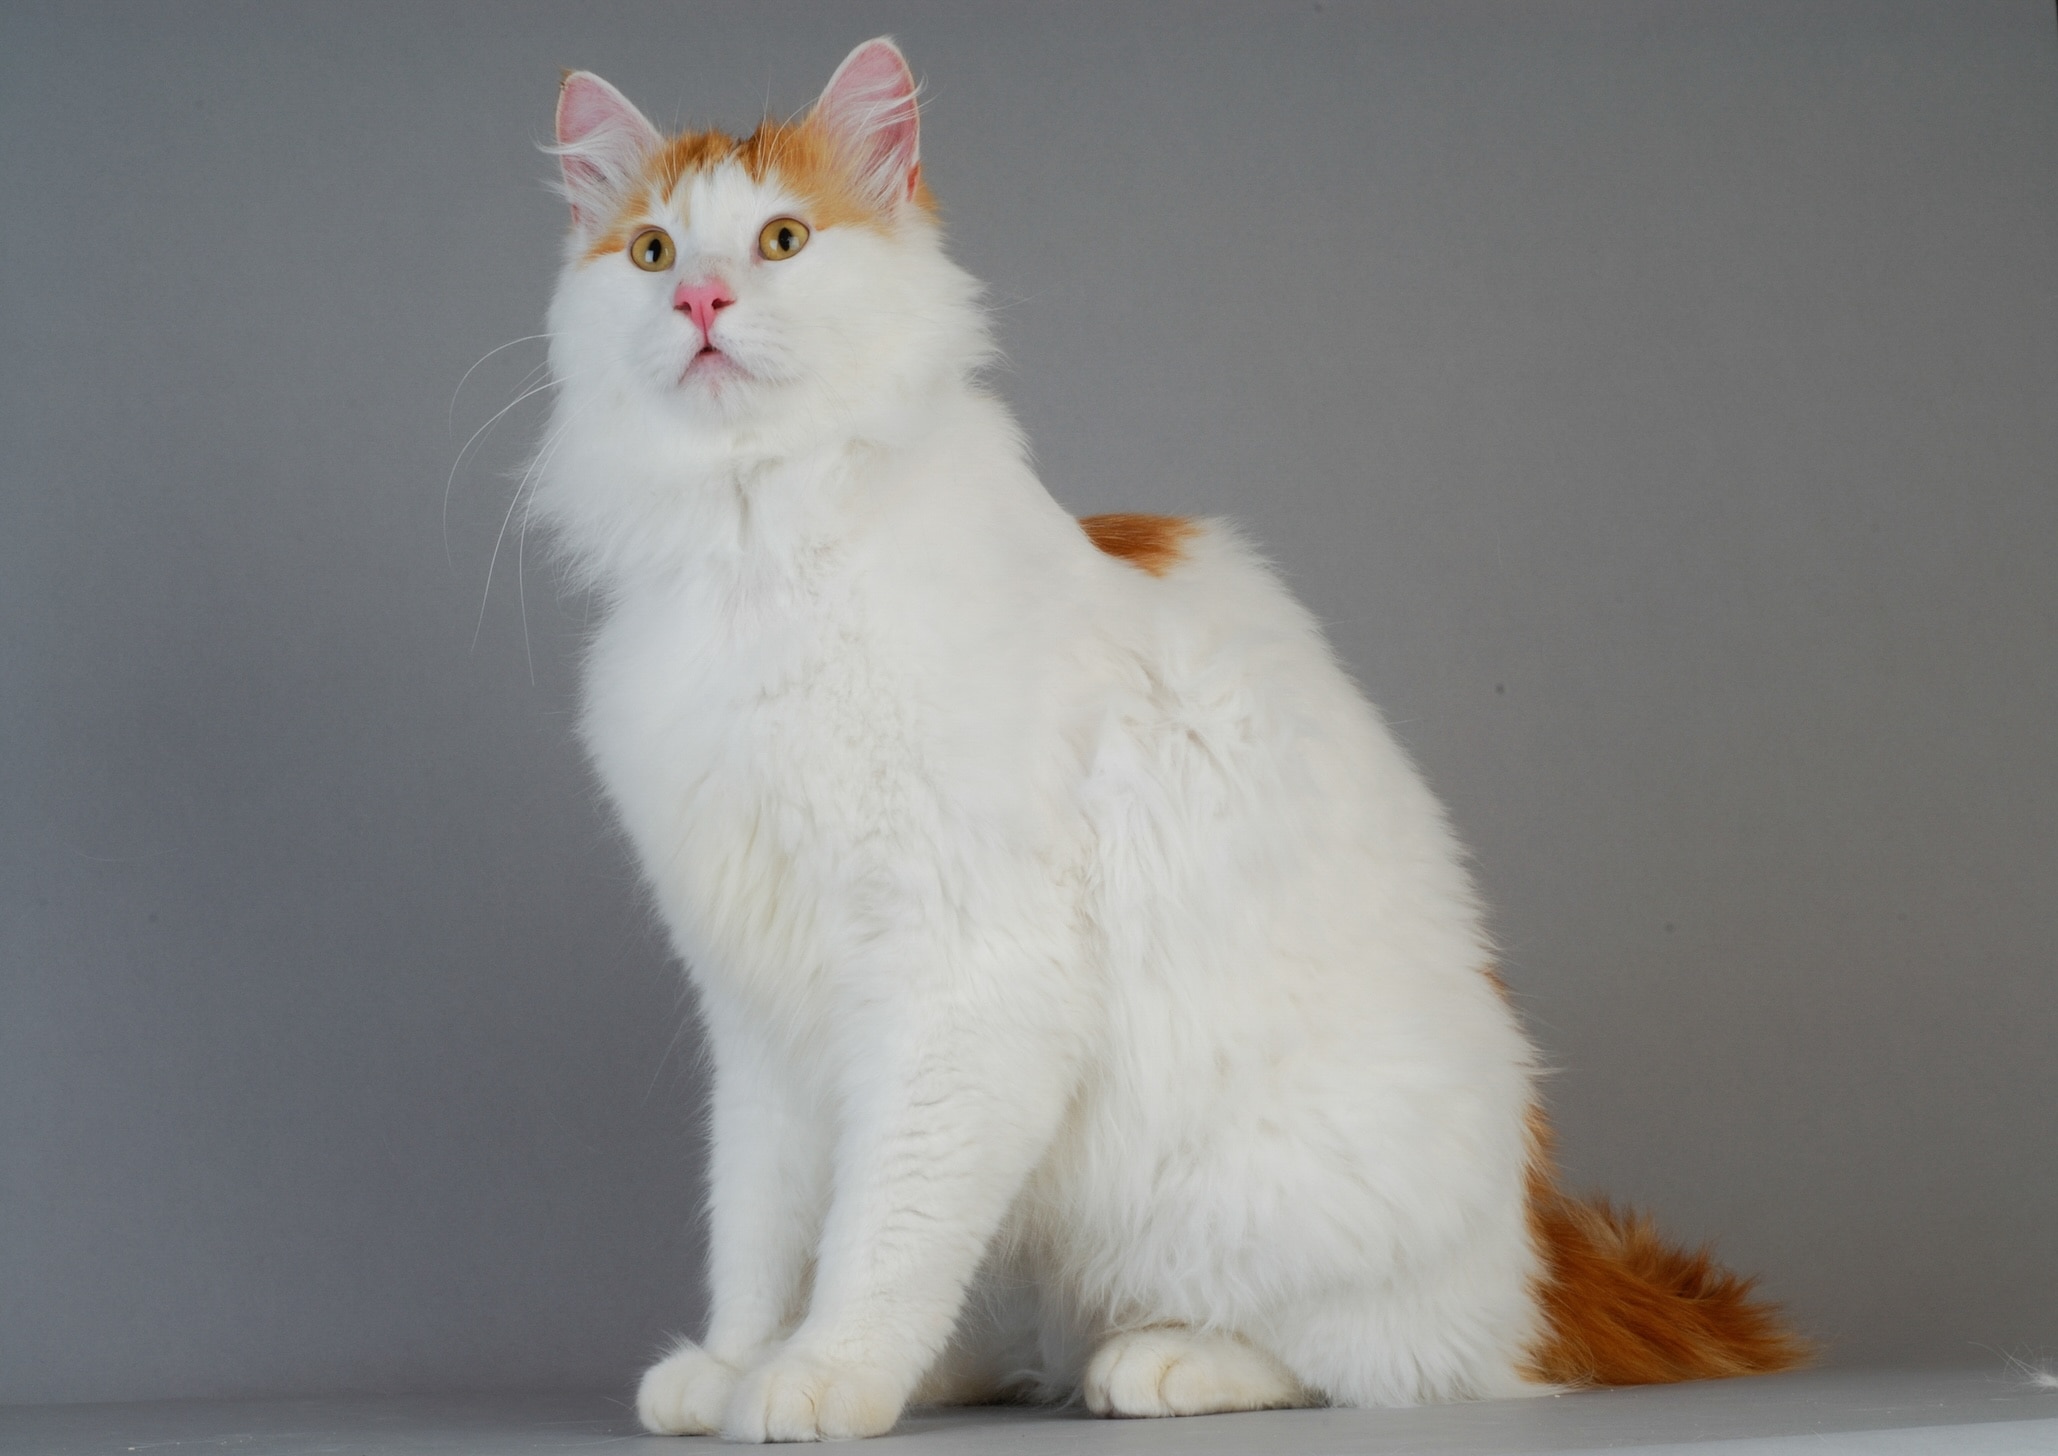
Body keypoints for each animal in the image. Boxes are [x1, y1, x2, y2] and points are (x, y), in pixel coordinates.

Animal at [526, 37, 1802, 1449]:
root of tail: (1538, 1254)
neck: (754, 546)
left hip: (1260, 1195)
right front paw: (739, 1356)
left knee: (1394, 1358)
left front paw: (824, 1371)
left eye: (782, 240)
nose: (700, 298)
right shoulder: (756, 1007)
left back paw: (1165, 1360)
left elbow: (879, 1227)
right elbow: (759, 1217)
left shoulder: (965, 978)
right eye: (650, 251)